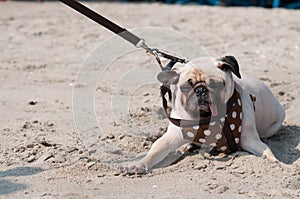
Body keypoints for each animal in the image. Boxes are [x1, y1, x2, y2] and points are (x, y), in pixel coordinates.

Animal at [119, 56, 284, 174]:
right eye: (186, 86)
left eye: (216, 84)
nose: (200, 90)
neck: (207, 118)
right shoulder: (172, 137)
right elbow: (155, 151)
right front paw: (137, 165)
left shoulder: (250, 140)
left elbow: (267, 153)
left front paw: (279, 166)